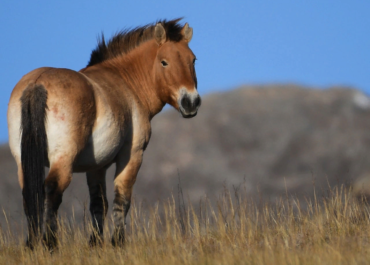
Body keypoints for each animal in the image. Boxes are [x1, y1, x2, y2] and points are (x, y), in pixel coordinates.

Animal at [7, 18, 199, 248]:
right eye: (164, 62)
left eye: (193, 60)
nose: (191, 102)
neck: (126, 82)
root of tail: (38, 83)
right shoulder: (131, 156)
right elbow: (121, 200)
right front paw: (118, 242)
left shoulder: (96, 166)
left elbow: (99, 204)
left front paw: (95, 244)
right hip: (63, 159)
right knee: (52, 190)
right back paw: (50, 243)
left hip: (22, 161)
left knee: (30, 194)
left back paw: (32, 244)